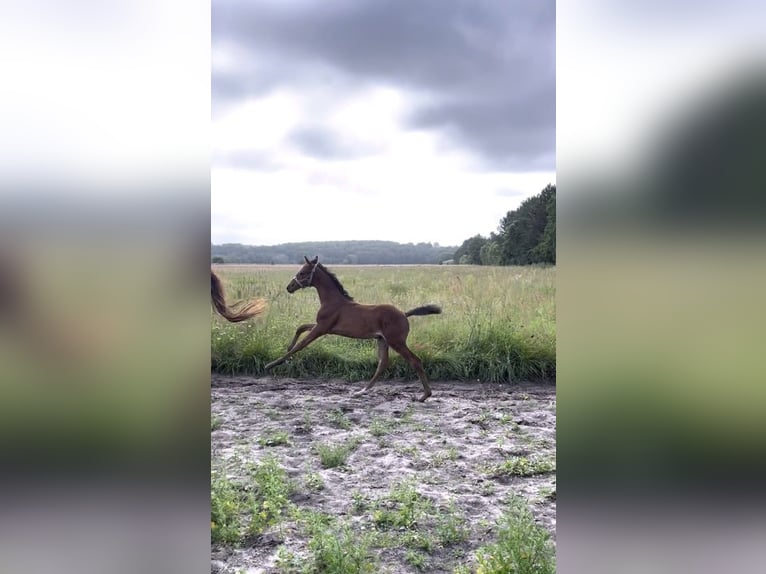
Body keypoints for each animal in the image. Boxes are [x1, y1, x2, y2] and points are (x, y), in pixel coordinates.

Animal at [266, 258, 440, 402]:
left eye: (302, 272)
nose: (289, 287)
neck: (333, 301)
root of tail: (404, 313)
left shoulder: (322, 328)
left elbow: (300, 345)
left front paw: (271, 364)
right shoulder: (323, 326)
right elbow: (301, 327)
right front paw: (287, 350)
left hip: (396, 341)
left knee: (415, 361)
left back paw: (424, 395)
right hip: (382, 340)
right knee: (382, 364)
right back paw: (362, 391)